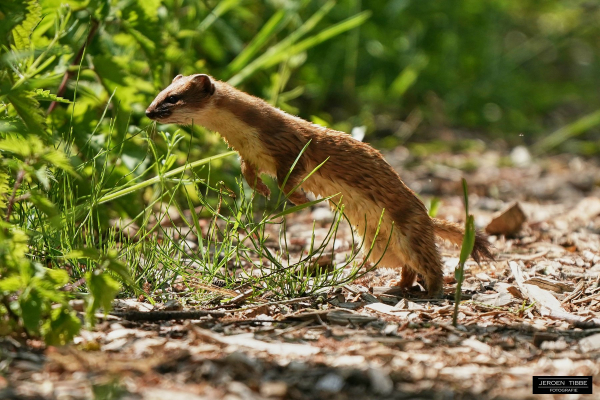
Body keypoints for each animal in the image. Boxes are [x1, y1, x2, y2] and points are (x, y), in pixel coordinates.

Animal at [146, 73, 492, 296]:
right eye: (159, 93)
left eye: (173, 98)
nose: (149, 111)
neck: (245, 137)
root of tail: (426, 217)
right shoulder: (248, 155)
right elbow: (249, 173)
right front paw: (262, 190)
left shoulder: (291, 147)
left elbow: (290, 177)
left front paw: (298, 198)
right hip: (381, 244)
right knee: (406, 267)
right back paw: (394, 287)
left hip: (410, 231)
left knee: (430, 264)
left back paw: (433, 291)